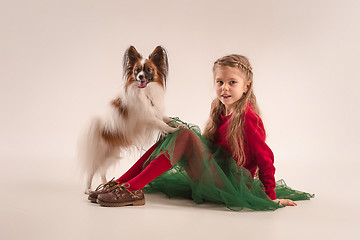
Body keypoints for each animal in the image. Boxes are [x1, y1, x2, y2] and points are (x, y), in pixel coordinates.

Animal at [79, 46, 180, 194]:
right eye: (136, 70)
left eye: (148, 70)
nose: (140, 77)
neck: (145, 92)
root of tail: (100, 128)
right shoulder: (147, 117)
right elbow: (161, 124)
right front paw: (173, 130)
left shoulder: (155, 111)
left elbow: (166, 119)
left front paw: (179, 125)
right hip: (101, 154)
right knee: (91, 171)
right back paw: (88, 190)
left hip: (111, 155)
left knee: (102, 170)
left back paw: (106, 184)